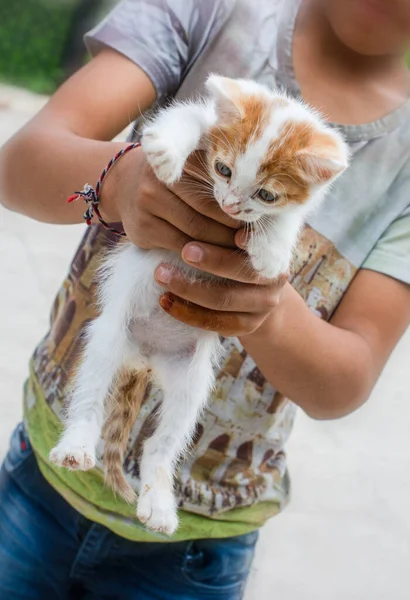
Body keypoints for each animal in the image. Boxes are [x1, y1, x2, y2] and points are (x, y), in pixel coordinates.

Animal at [48, 74, 350, 536]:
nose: (230, 204)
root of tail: (145, 361)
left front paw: (271, 250)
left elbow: (289, 218)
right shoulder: (206, 120)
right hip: (108, 340)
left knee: (163, 441)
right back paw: (77, 445)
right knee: (91, 395)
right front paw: (163, 152)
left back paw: (157, 503)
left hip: (191, 381)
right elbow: (187, 116)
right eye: (222, 169)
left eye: (267, 194)